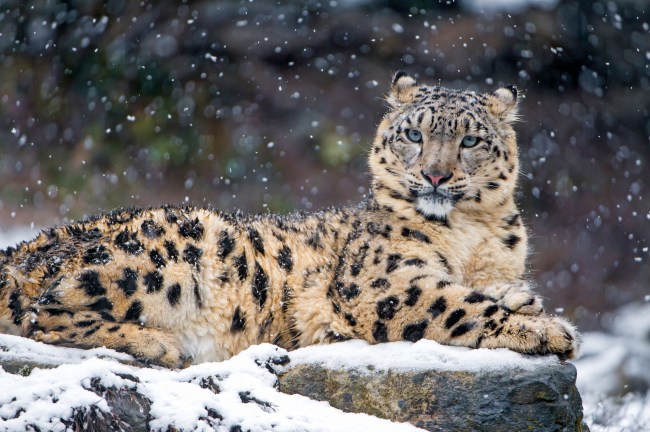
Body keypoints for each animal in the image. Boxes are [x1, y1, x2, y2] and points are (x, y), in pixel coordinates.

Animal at [0, 72, 579, 368]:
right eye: (414, 134)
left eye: (471, 140)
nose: (435, 175)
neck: (472, 236)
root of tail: (25, 246)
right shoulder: (383, 282)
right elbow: (457, 304)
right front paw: (546, 330)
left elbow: (482, 290)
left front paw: (525, 299)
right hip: (173, 251)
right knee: (42, 314)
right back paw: (157, 343)